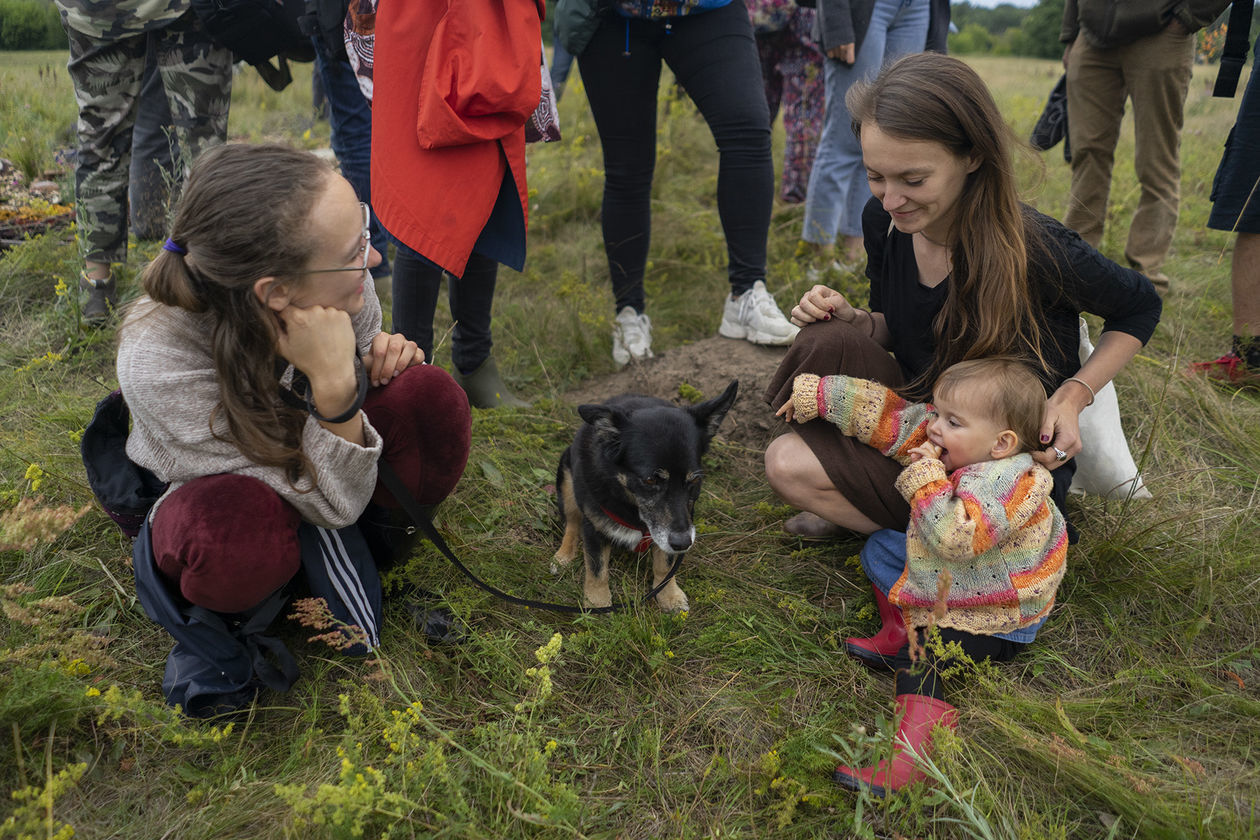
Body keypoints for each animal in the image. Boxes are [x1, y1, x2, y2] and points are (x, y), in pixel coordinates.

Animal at [554, 380, 735, 612]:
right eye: (650, 480)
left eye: (694, 480)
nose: (683, 544)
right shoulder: (594, 528)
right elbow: (597, 569)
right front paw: (598, 602)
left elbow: (665, 565)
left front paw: (668, 595)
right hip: (566, 482)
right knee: (571, 524)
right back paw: (563, 555)